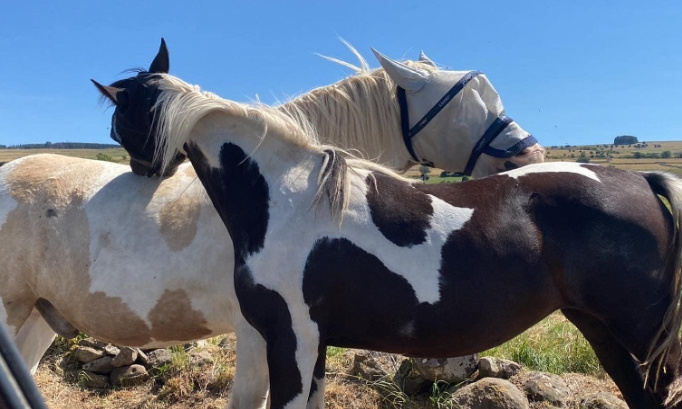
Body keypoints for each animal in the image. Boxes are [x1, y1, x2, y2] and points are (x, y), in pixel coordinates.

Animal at [107, 65, 682, 409]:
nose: (145, 172)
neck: (283, 194)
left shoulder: (290, 339)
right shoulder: (313, 344)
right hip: (603, 330)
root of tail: (641, 180)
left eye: (119, 121)